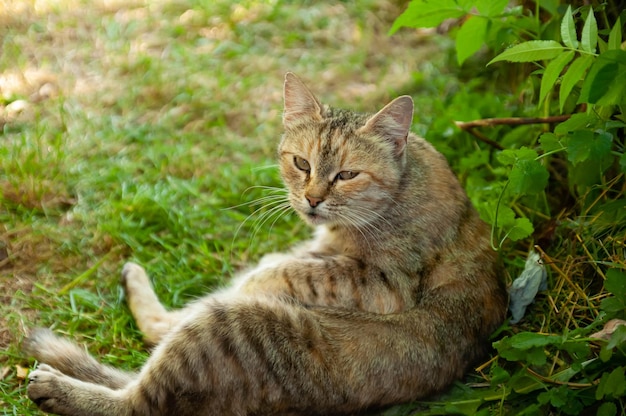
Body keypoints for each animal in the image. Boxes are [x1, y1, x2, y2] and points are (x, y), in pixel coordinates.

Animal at [23, 73, 508, 414]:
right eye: (301, 163)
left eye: (347, 174)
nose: (312, 199)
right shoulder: (318, 249)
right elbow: (281, 263)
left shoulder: (384, 282)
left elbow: (286, 271)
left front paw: (262, 280)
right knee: (166, 329)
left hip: (229, 327)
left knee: (139, 401)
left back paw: (59, 387)